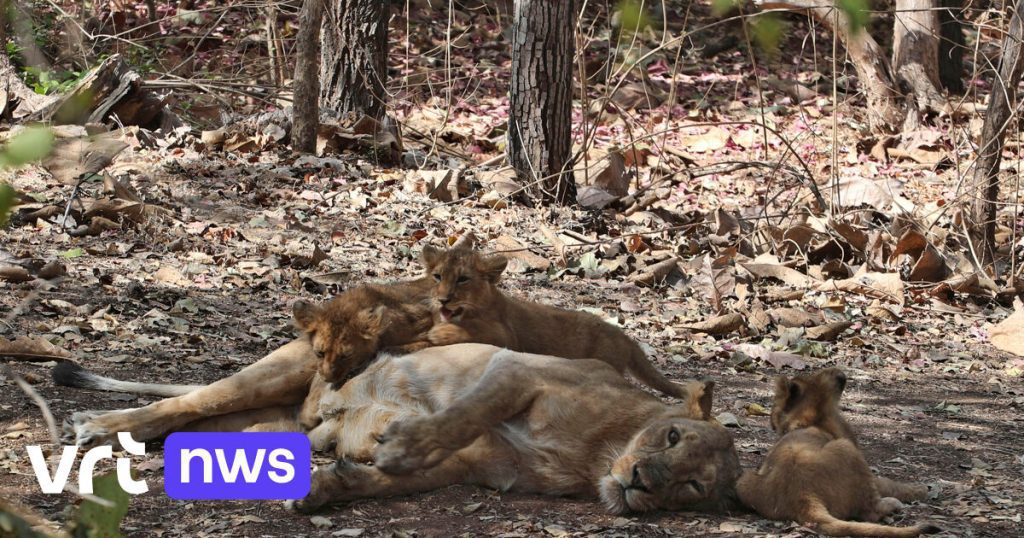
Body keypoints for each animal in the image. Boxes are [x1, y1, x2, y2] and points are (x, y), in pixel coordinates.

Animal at [417, 238, 691, 399]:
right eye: (438, 276)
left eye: (463, 279)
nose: (443, 299)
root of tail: (624, 336)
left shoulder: (507, 337)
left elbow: (474, 330)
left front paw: (440, 333)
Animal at [736, 368, 939, 537]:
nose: (841, 374)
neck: (807, 421)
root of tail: (803, 495)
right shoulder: (868, 469)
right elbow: (889, 483)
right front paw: (921, 489)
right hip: (845, 448)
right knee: (870, 511)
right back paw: (894, 506)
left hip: (743, 480)